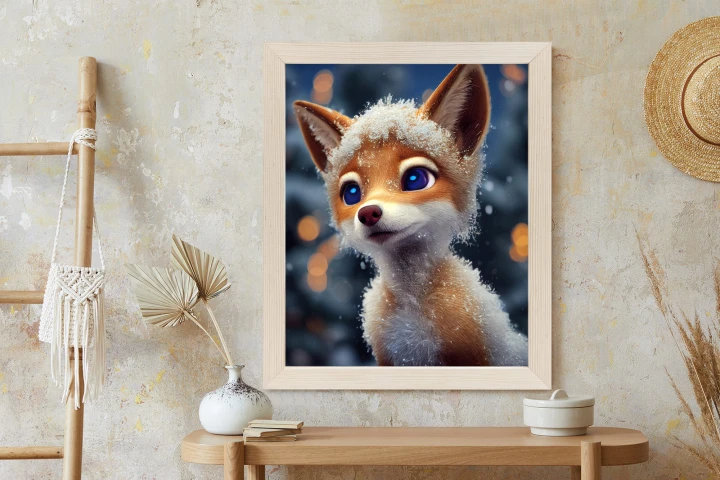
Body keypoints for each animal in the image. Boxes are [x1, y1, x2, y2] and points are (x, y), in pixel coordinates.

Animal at [293, 64, 528, 367]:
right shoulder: (388, 356)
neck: (412, 308)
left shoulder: (468, 350)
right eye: (351, 193)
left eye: (416, 179)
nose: (368, 213)